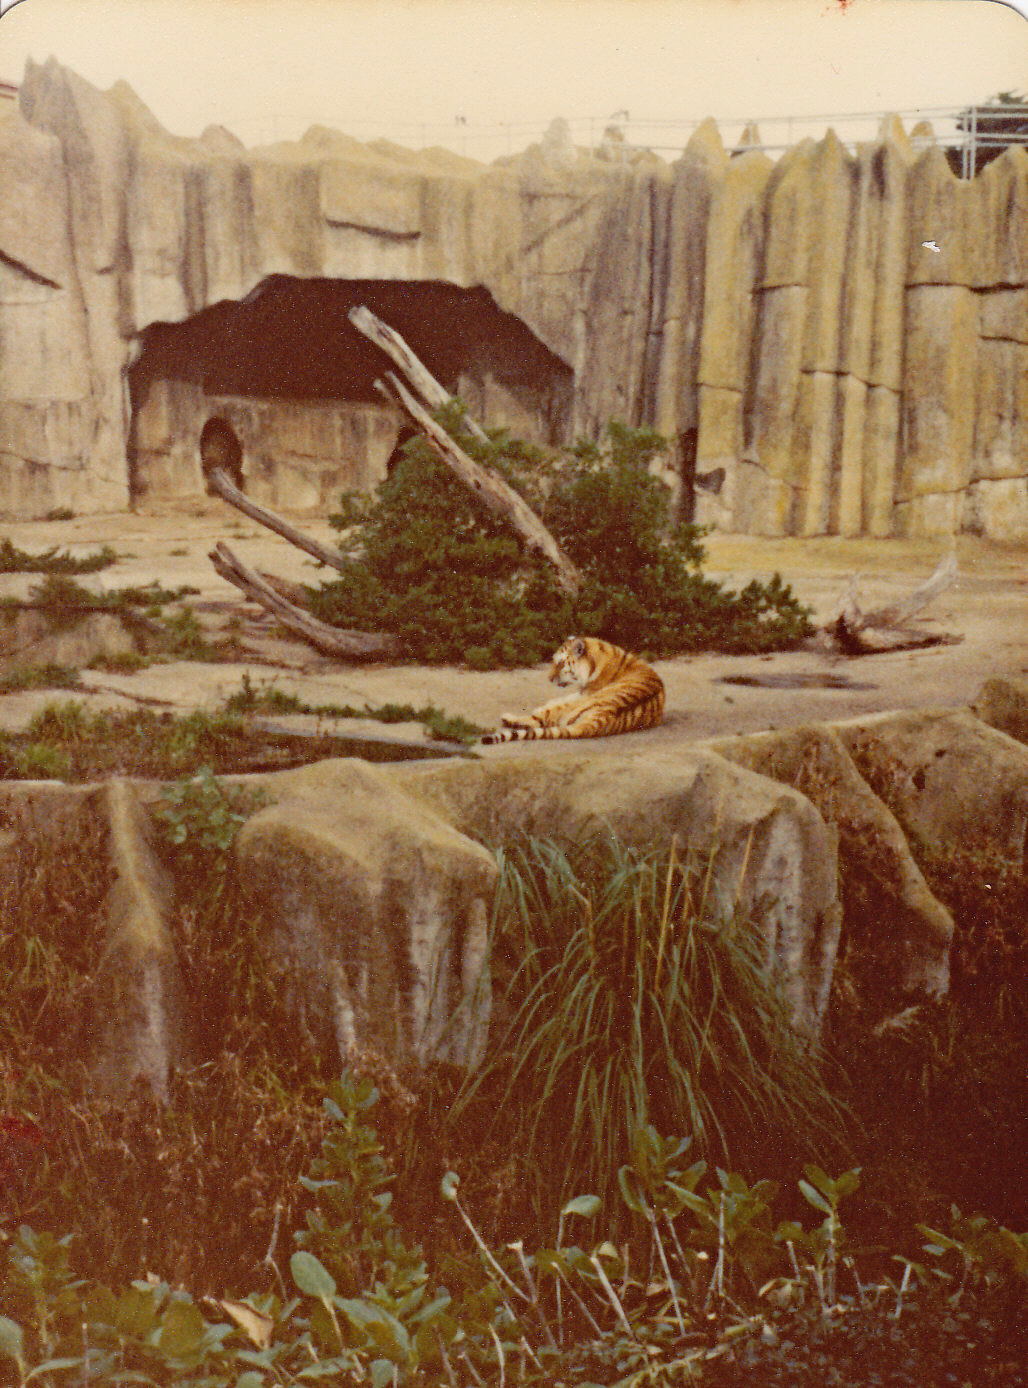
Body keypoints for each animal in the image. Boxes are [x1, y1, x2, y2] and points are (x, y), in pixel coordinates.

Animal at [481, 636, 665, 743]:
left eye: (561, 663)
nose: (549, 679)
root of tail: (594, 722)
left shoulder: (581, 694)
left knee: (538, 719)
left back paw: (507, 718)